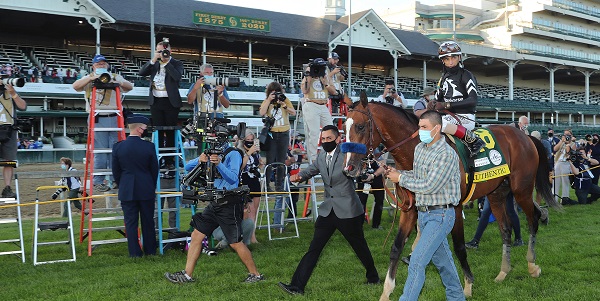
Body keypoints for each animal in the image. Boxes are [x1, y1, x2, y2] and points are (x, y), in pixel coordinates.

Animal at [344, 97, 560, 298]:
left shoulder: (454, 207)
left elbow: (459, 247)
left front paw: (468, 285)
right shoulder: (410, 209)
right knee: (505, 230)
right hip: (497, 194)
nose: (349, 168)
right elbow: (396, 247)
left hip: (522, 189)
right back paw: (503, 272)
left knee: (533, 219)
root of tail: (525, 136)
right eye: (344, 127)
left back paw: (532, 264)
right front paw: (386, 291)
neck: (416, 151)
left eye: (360, 126)